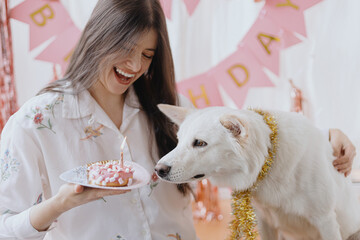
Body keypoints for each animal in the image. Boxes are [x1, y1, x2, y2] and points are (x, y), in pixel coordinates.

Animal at [155, 104, 360, 240]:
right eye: (179, 141)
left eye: (199, 143)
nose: (158, 170)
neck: (269, 161)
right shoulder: (266, 221)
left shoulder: (325, 220)